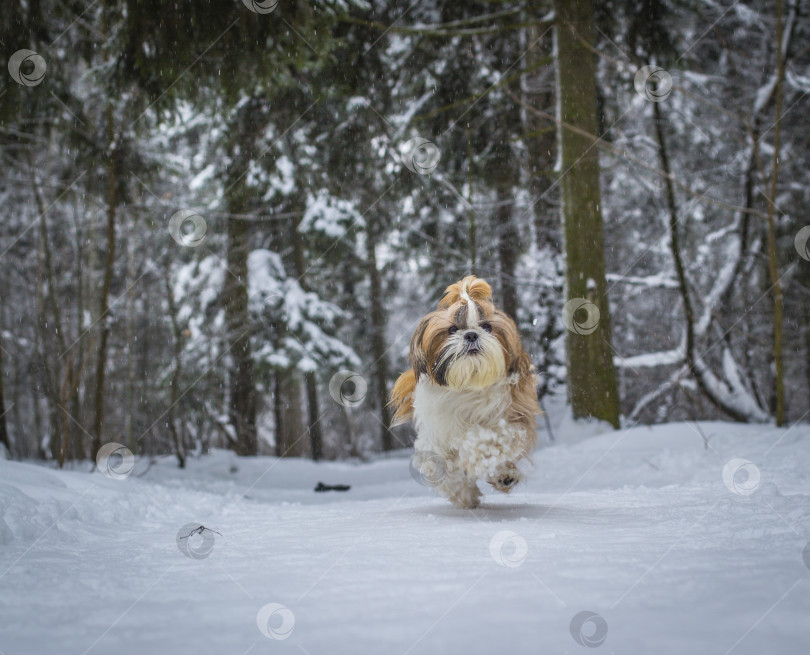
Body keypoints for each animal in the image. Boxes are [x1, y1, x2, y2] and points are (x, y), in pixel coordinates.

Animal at [390, 274, 540, 510]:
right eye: (452, 329)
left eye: (487, 326)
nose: (470, 335)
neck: (469, 383)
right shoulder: (435, 437)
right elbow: (444, 466)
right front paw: (464, 494)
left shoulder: (514, 420)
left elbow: (488, 440)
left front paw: (481, 455)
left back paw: (504, 475)